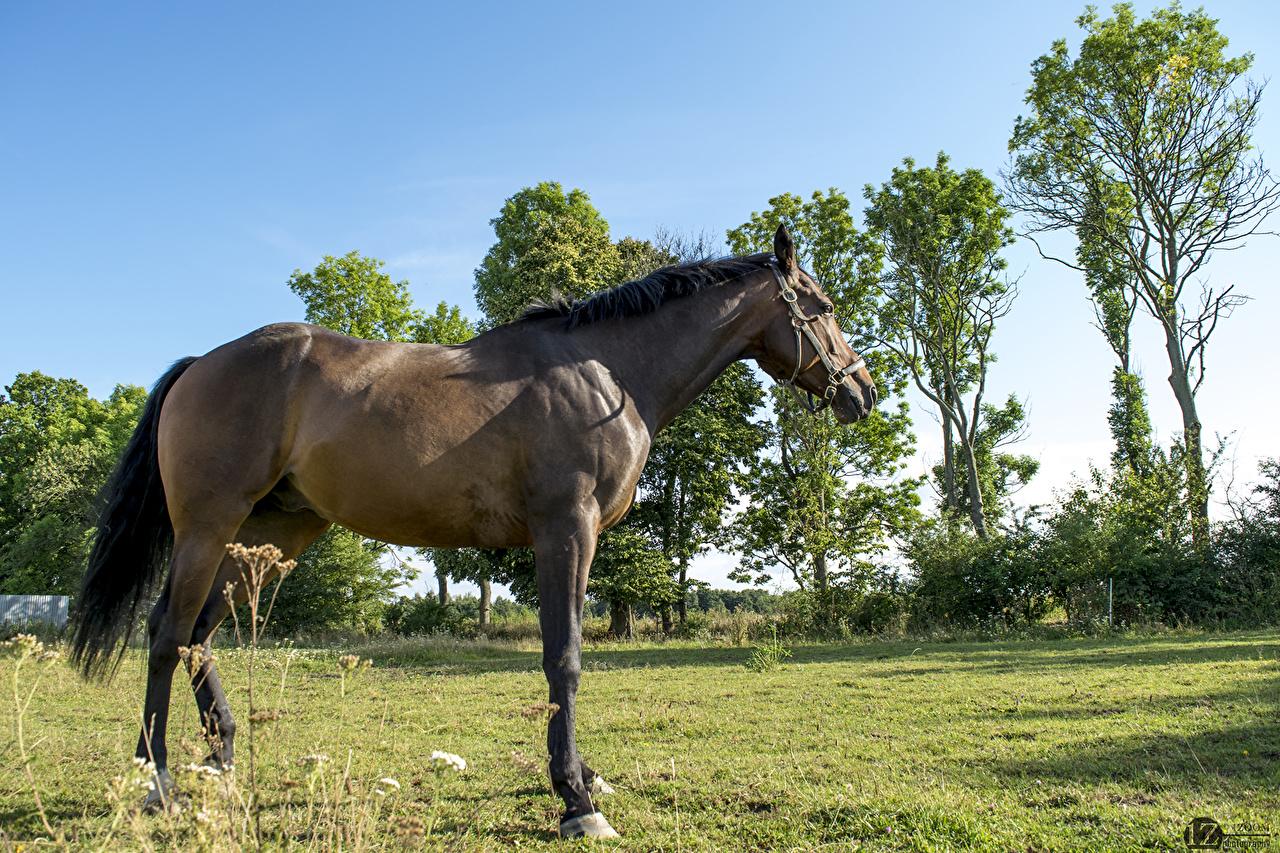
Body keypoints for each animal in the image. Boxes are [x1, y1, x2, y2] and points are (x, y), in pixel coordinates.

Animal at [67, 222, 870, 835]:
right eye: (823, 305)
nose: (860, 391)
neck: (606, 371)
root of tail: (203, 362)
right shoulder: (566, 530)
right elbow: (563, 659)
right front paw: (574, 799)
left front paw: (584, 777)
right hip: (209, 525)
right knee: (167, 633)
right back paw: (157, 780)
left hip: (276, 534)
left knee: (200, 634)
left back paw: (222, 761)